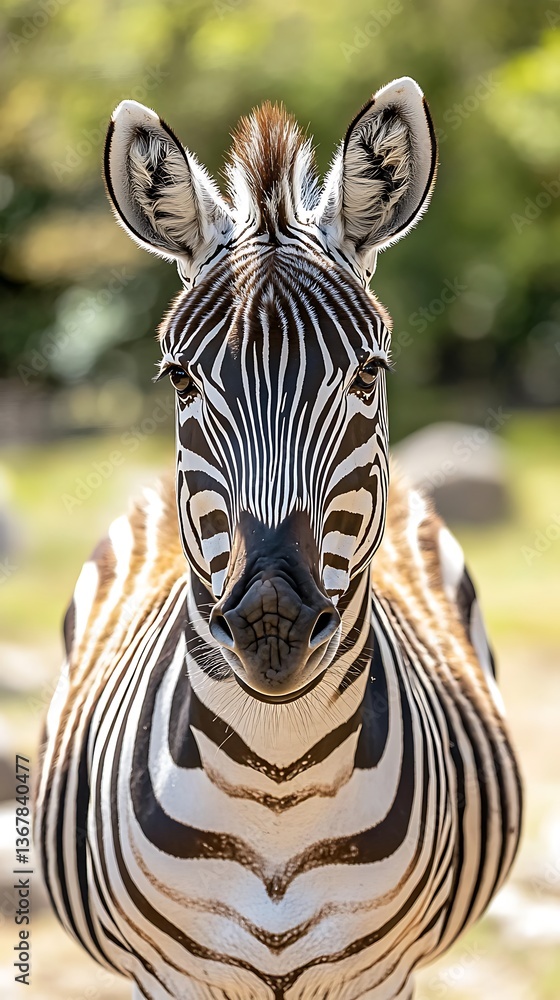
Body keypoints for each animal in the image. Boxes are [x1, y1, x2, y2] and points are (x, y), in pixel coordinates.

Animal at [35, 77, 522, 1000]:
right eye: (180, 380)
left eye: (369, 374)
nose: (271, 623)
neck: (277, 779)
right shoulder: (168, 980)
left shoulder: (381, 978)